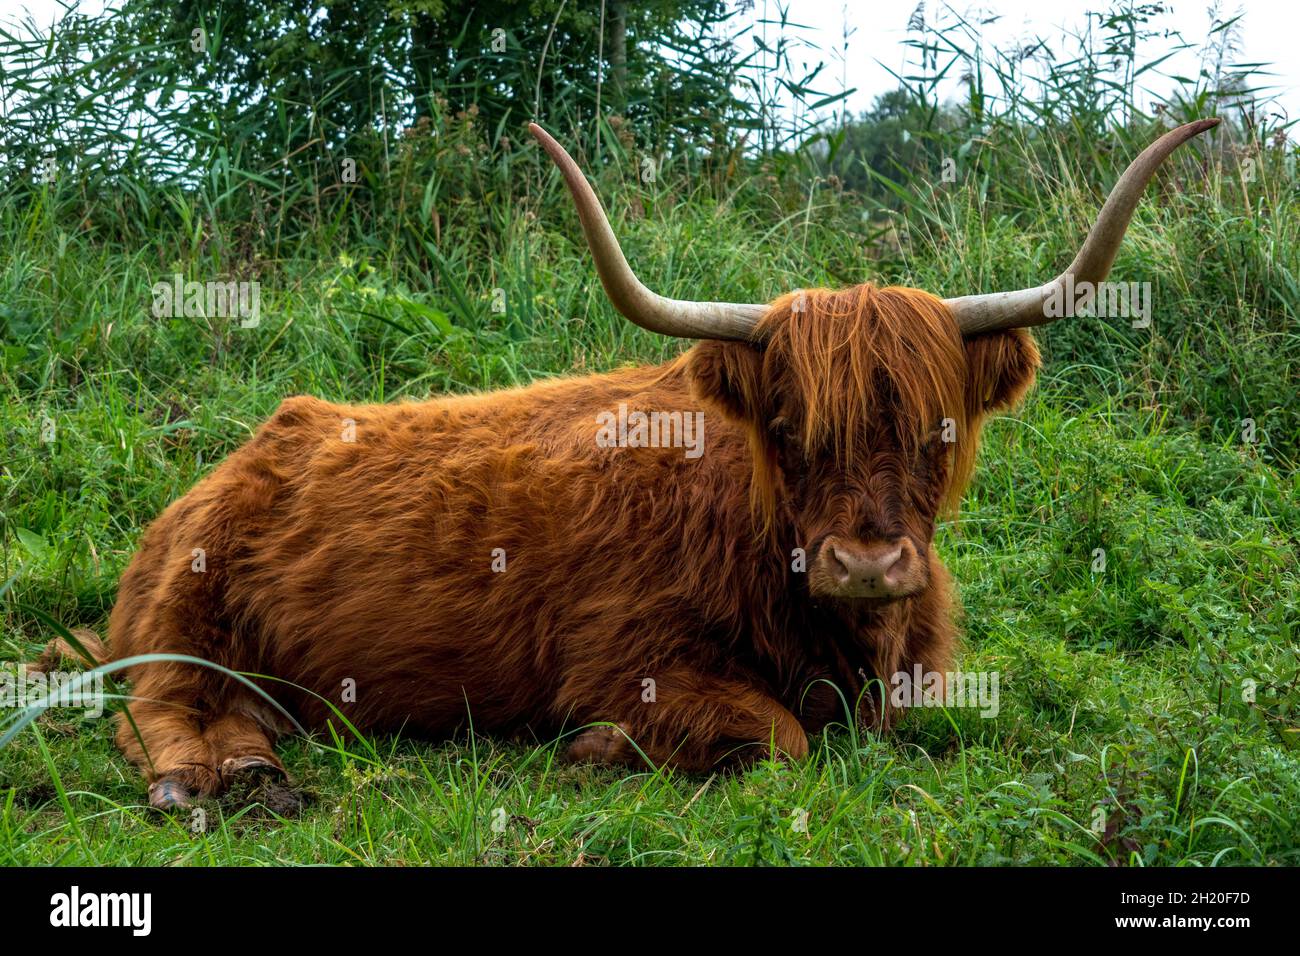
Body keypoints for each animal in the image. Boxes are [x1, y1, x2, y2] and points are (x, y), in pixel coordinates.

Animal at [40, 118, 1218, 809]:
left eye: (935, 429)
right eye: (787, 424)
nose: (867, 564)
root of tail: (251, 443)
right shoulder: (622, 656)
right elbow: (779, 735)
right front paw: (601, 750)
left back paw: (258, 771)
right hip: (188, 610)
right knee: (157, 704)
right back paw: (213, 779)